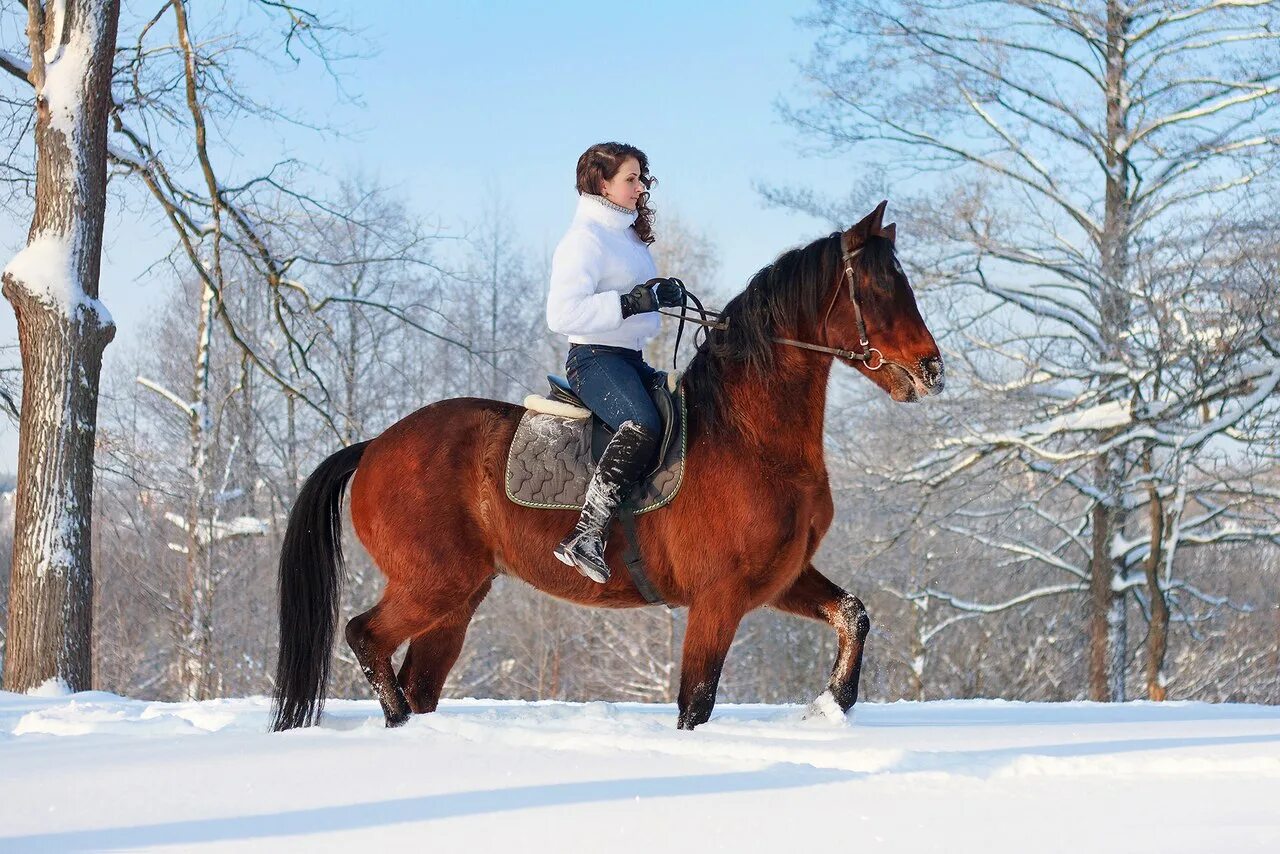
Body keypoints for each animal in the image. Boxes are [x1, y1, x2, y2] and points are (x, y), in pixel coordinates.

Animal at [275, 197, 947, 732]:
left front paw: (831, 705)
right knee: (365, 637)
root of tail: (375, 445)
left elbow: (854, 615)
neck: (750, 436)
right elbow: (695, 704)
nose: (931, 371)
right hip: (431, 584)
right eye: (880, 288)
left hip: (457, 598)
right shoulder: (720, 597)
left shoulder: (779, 579)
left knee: (415, 677)